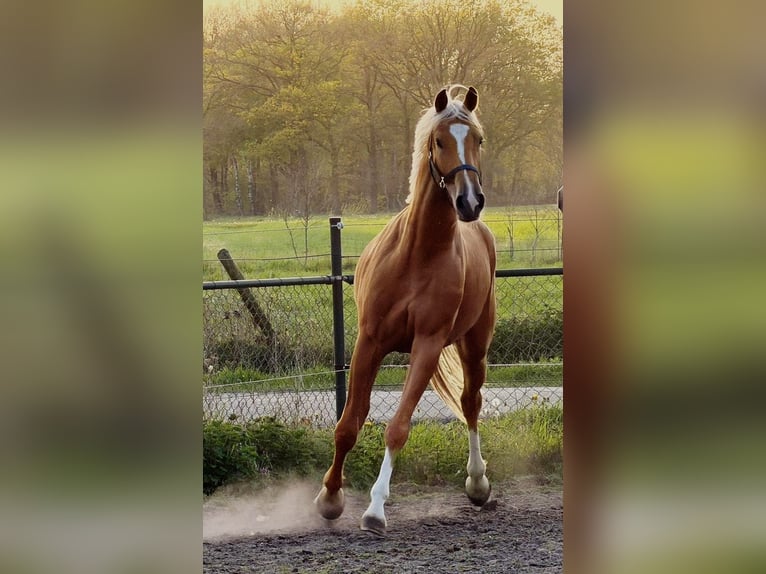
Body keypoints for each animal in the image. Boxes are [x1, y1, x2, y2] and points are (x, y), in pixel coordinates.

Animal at [315, 85, 496, 535]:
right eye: (439, 140)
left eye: (478, 139)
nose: (470, 202)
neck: (417, 255)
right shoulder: (370, 342)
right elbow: (349, 424)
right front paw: (330, 498)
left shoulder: (426, 346)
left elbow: (397, 428)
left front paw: (376, 509)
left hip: (474, 345)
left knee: (470, 403)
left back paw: (477, 483)